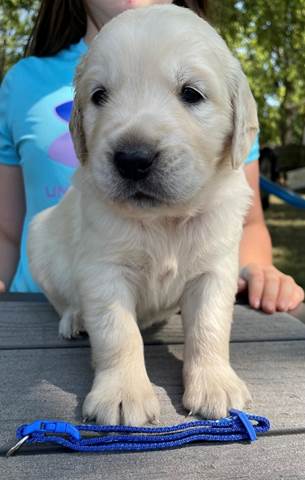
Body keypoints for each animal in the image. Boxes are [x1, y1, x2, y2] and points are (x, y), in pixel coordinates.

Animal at [27, 3, 256, 424]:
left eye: (191, 93)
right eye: (99, 95)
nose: (133, 159)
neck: (165, 219)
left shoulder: (215, 269)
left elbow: (210, 325)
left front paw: (215, 384)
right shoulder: (104, 270)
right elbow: (118, 331)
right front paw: (122, 393)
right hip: (39, 236)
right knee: (62, 300)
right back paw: (75, 319)